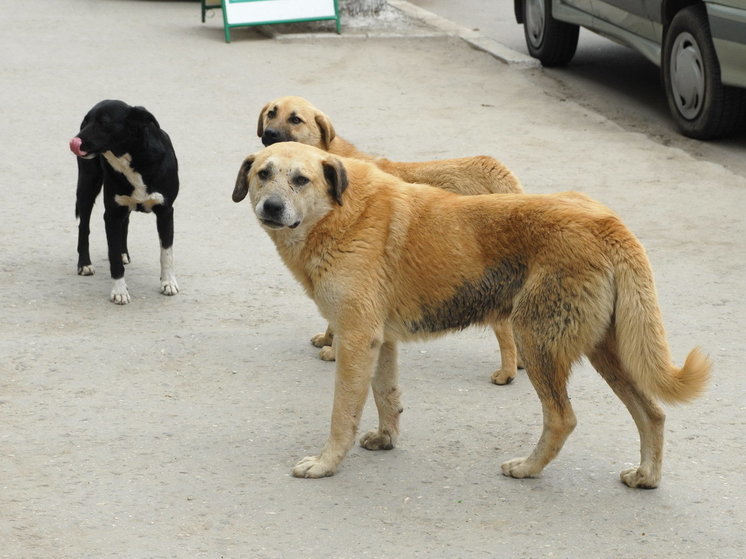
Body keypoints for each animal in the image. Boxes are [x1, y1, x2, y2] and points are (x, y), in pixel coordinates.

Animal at [70, 98, 180, 304]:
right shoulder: (111, 215)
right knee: (84, 227)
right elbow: (112, 256)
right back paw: (85, 264)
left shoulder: (166, 211)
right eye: (86, 121)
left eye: (104, 122)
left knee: (125, 222)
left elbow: (166, 252)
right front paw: (119, 290)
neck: (132, 158)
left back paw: (123, 253)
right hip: (87, 185)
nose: (75, 141)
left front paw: (168, 282)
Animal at [232, 143, 708, 490]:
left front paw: (326, 463)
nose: (271, 207)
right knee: (652, 413)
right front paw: (386, 439)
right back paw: (647, 476)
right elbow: (386, 396)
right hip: (606, 352)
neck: (341, 212)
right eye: (263, 174)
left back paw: (528, 468)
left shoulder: (354, 340)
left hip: (538, 342)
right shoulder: (380, 341)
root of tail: (607, 223)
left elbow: (342, 414)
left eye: (301, 179)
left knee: (563, 418)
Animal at [256, 96, 524, 384]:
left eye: (296, 119)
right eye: (271, 113)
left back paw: (507, 372)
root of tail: (495, 170)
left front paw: (334, 350)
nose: (269, 135)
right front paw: (329, 339)